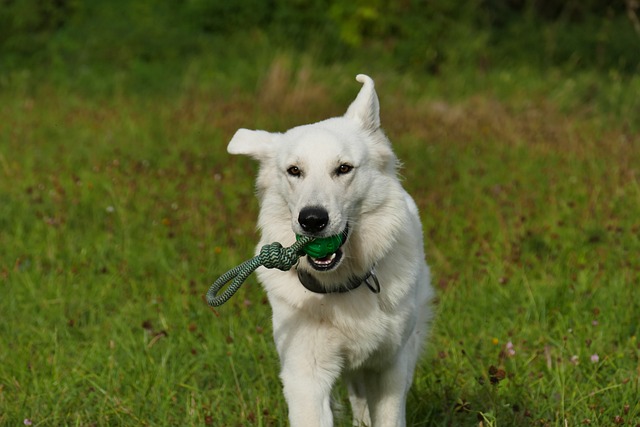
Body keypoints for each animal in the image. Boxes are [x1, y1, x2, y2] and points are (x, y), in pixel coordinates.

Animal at [228, 75, 432, 426]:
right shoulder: (305, 376)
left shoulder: (389, 370)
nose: (312, 220)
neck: (342, 282)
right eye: (294, 171)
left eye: (344, 168)